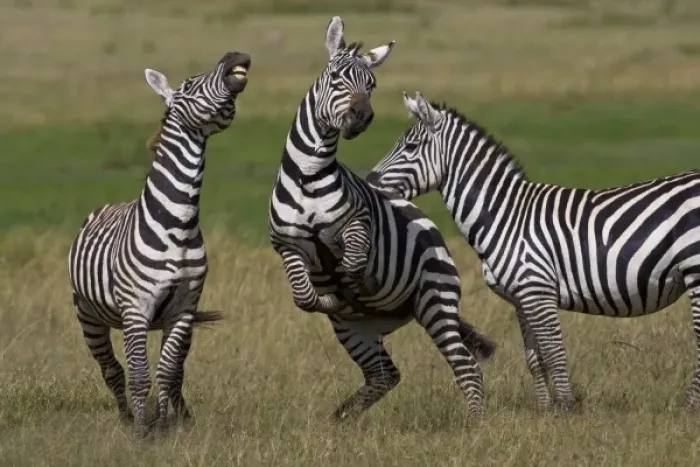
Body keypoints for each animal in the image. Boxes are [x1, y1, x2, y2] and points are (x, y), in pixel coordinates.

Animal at [68, 51, 251, 434]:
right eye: (188, 84)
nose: (238, 56)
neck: (177, 224)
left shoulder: (183, 308)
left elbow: (168, 372)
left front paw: (165, 425)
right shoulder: (137, 307)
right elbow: (139, 374)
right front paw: (142, 432)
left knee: (175, 371)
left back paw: (181, 415)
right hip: (88, 315)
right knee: (112, 370)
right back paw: (126, 419)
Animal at [268, 17, 496, 421]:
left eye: (371, 85)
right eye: (336, 77)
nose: (362, 117)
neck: (308, 176)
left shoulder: (358, 223)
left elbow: (353, 265)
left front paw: (355, 284)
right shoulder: (287, 244)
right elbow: (304, 296)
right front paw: (330, 299)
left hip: (435, 301)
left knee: (466, 365)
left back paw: (477, 423)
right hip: (354, 331)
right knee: (384, 374)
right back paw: (339, 420)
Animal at [366, 90, 700, 411]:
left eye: (410, 147)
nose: (369, 182)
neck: (505, 216)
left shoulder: (538, 289)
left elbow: (554, 352)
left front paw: (565, 408)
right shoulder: (521, 298)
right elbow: (534, 358)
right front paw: (543, 409)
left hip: (695, 269)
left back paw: (688, 408)